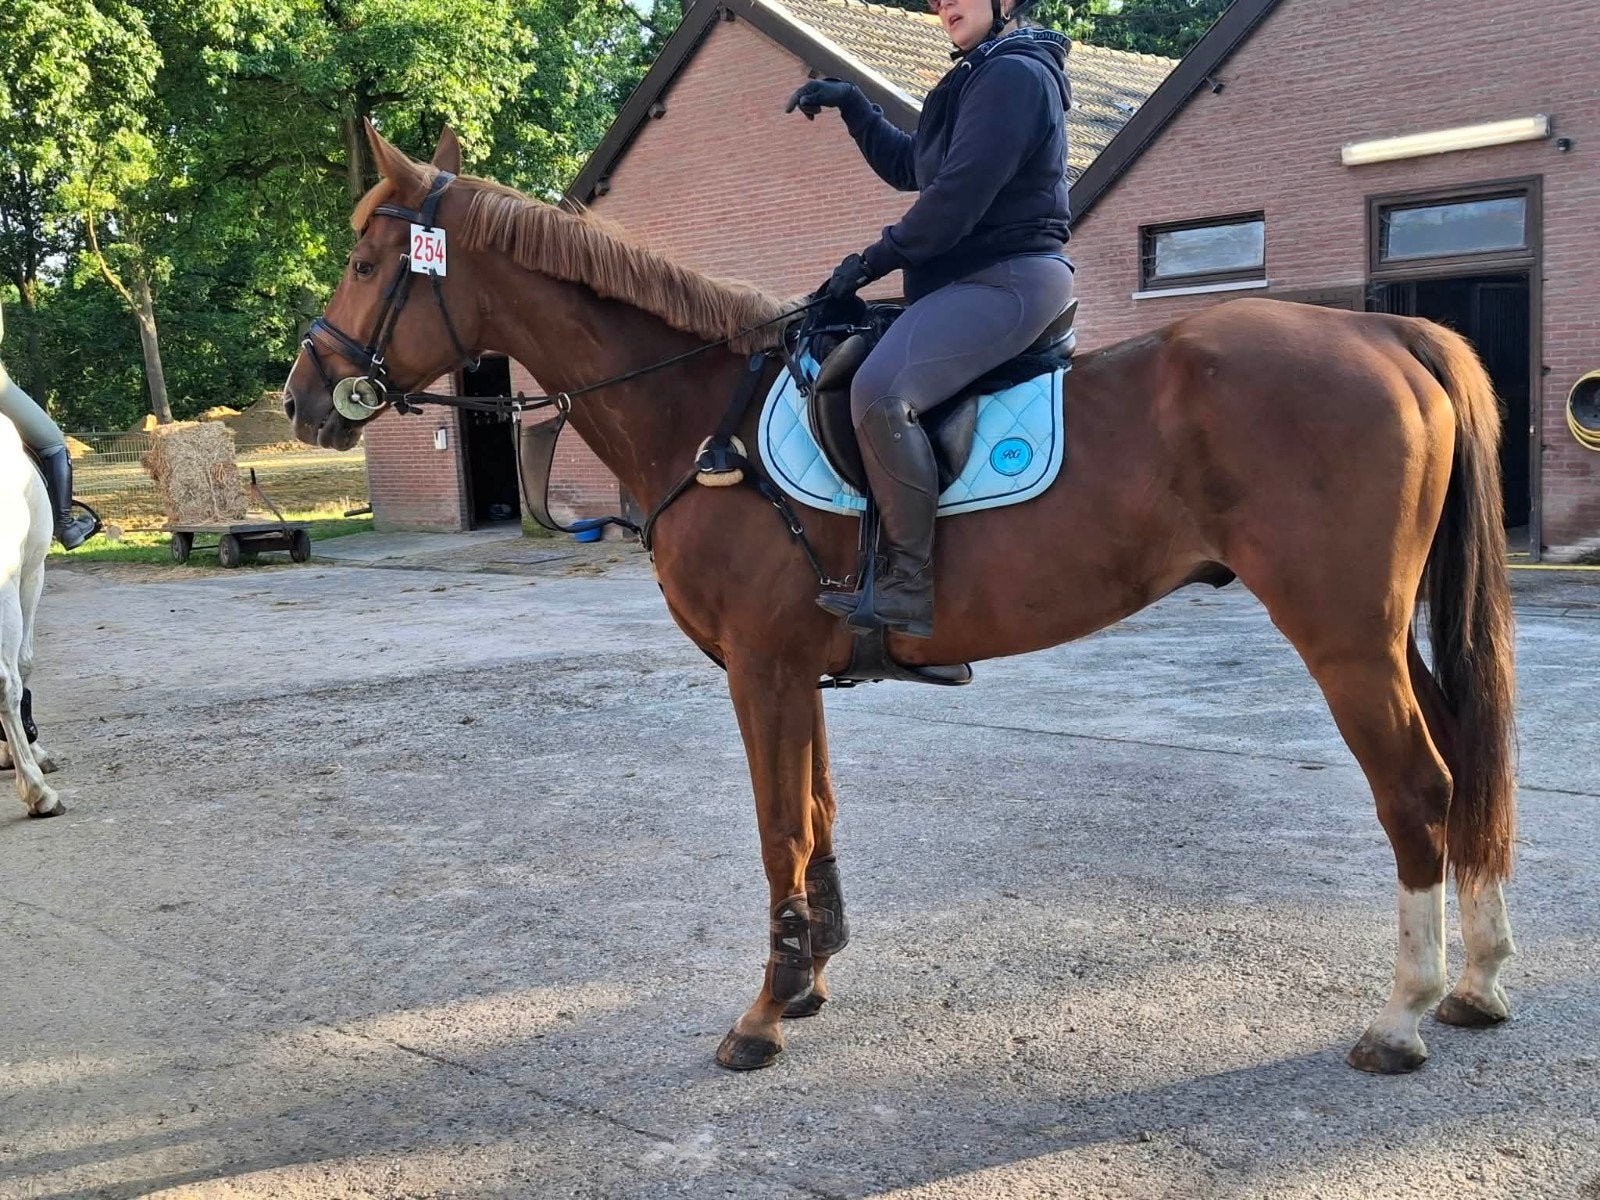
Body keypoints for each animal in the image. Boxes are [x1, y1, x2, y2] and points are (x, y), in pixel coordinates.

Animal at [283, 122, 1517, 1076]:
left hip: (1342, 634)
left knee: (1418, 788)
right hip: (1383, 633)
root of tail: (1383, 328)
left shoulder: (761, 670)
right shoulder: (797, 671)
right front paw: (809, 977)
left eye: (364, 258)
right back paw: (1478, 983)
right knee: (1464, 766)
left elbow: (779, 829)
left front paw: (762, 1016)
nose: (301, 397)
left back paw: (1402, 1017)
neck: (704, 416)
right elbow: (817, 819)